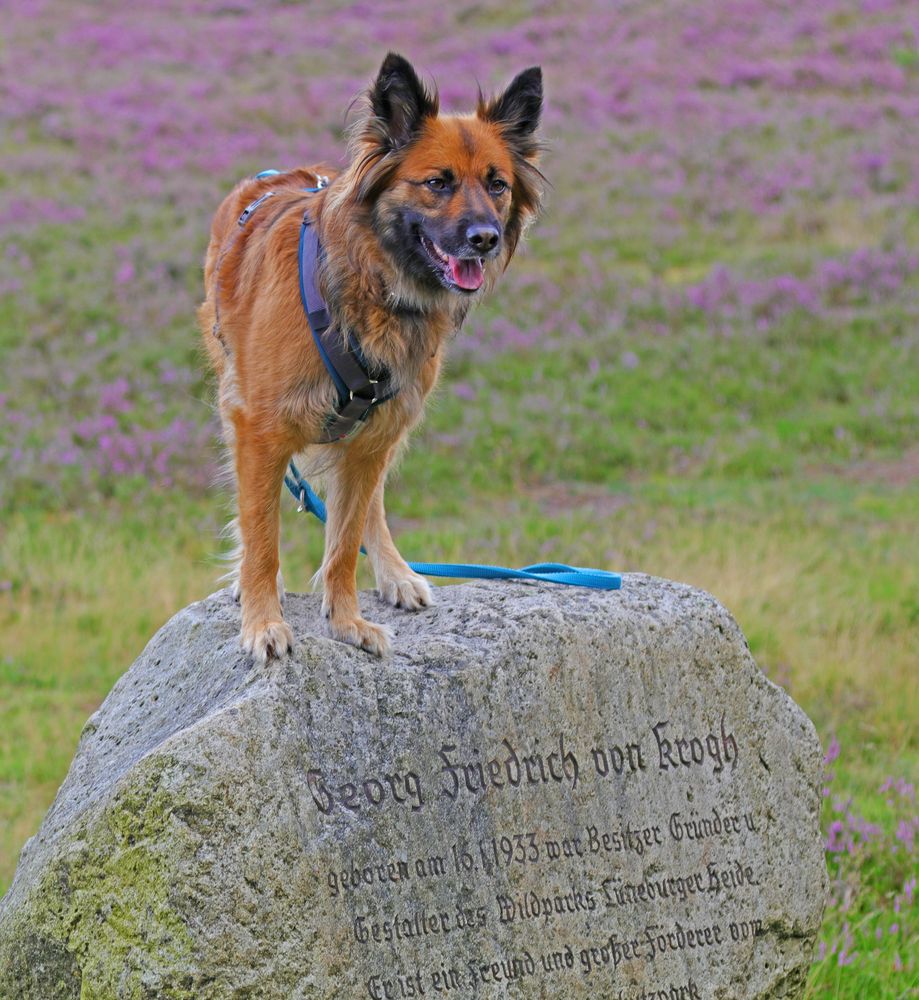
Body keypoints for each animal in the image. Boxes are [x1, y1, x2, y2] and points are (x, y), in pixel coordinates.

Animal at [199, 54, 548, 664]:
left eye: (497, 184)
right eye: (438, 183)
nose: (485, 238)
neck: (377, 285)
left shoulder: (370, 437)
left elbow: (343, 543)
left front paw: (346, 622)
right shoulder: (260, 429)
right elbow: (262, 534)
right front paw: (263, 620)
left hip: (385, 429)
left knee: (371, 506)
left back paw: (395, 572)